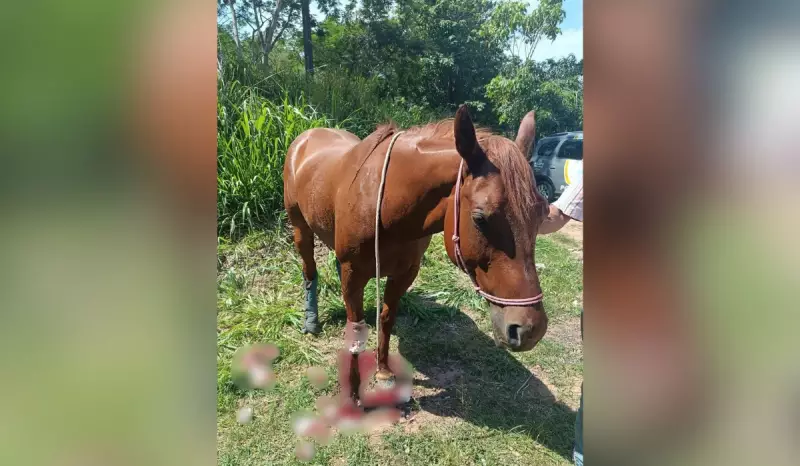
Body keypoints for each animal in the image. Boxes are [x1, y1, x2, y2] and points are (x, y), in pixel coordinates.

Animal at [283, 105, 548, 382]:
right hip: (300, 229)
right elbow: (355, 329)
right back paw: (311, 320)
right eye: (480, 218)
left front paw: (383, 368)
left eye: (542, 214)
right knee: (309, 270)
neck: (386, 207)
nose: (530, 329)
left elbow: (386, 318)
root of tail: (307, 136)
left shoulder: (405, 273)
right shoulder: (353, 272)